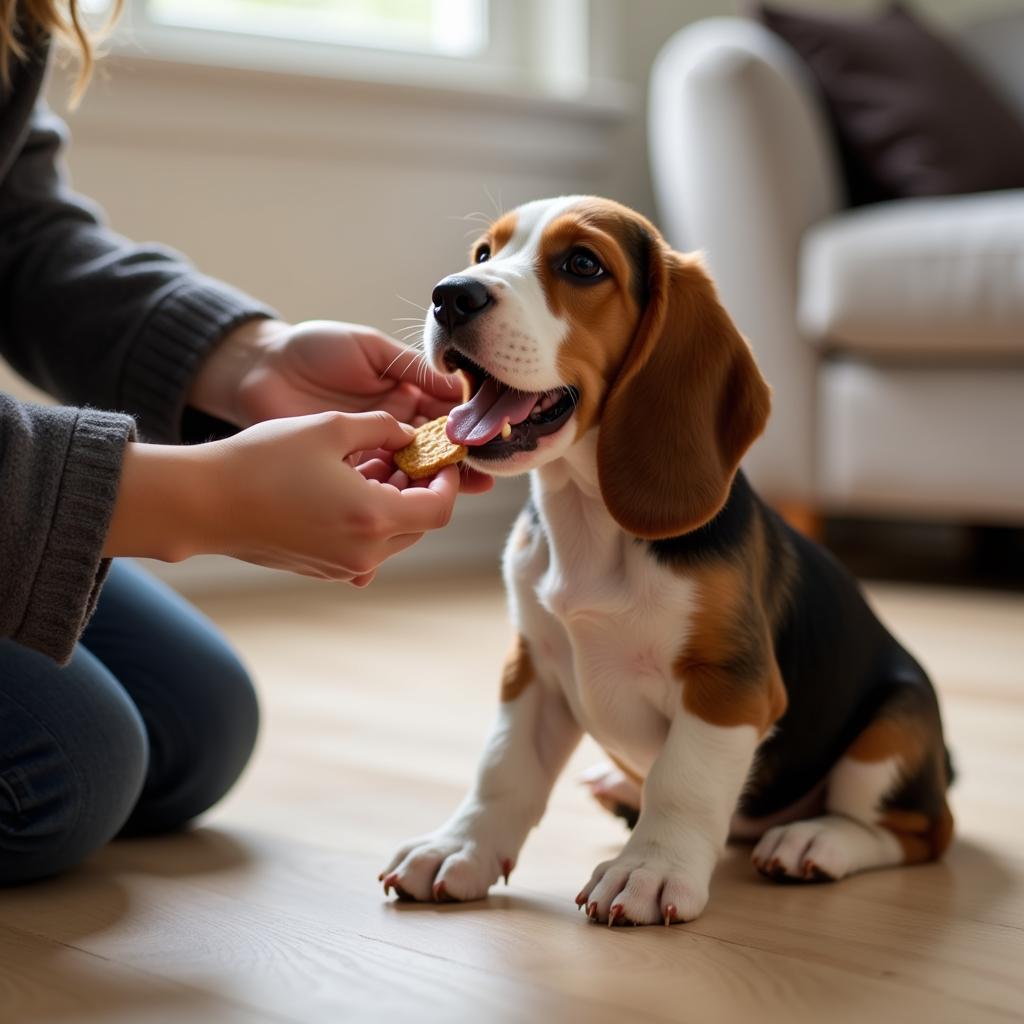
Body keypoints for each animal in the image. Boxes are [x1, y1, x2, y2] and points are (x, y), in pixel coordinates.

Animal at [380, 195, 954, 925]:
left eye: (582, 264)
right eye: (485, 253)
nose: (451, 295)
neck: (590, 520)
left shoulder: (728, 684)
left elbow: (683, 782)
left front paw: (649, 871)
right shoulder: (532, 666)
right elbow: (503, 767)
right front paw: (458, 847)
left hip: (894, 728)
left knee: (918, 831)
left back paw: (815, 840)